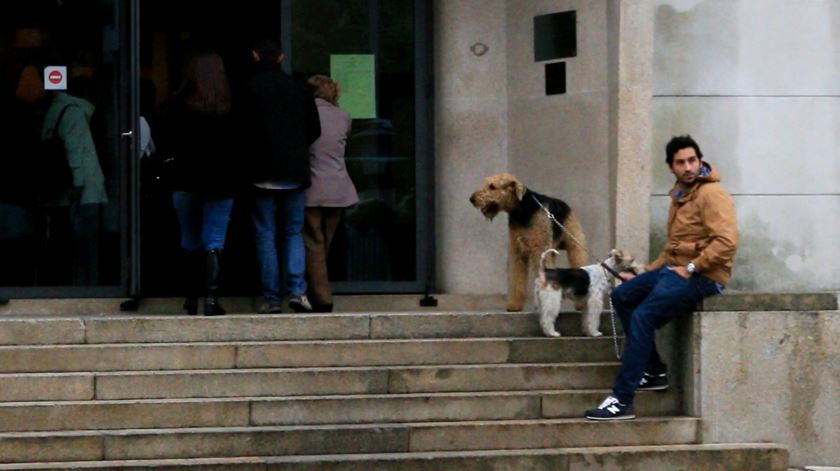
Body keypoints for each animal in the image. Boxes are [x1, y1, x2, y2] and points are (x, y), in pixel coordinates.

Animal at [470, 175, 588, 312]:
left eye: (492, 186)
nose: (471, 199)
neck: (521, 210)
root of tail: (566, 205)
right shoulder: (518, 253)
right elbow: (518, 280)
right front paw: (514, 305)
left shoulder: (539, 251)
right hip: (552, 250)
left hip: (575, 246)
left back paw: (581, 304)